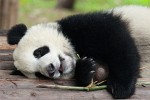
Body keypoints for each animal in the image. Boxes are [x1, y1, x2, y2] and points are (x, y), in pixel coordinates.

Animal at [7, 5, 150, 98]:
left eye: (38, 52)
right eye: (38, 74)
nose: (51, 69)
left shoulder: (86, 26)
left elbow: (118, 44)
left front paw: (121, 87)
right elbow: (99, 73)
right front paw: (86, 69)